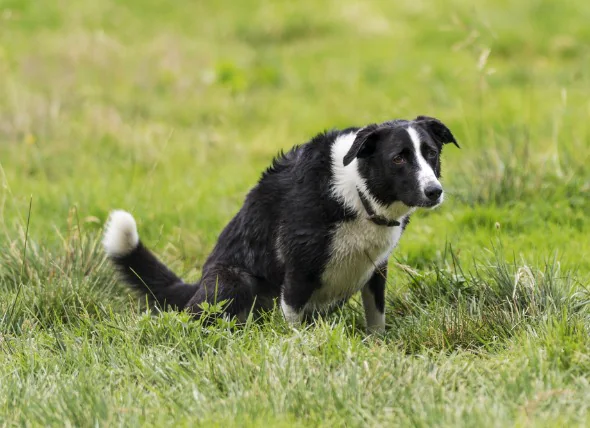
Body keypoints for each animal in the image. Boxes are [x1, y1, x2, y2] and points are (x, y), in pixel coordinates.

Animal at [104, 116, 460, 332]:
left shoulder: (376, 269)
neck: (358, 193)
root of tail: (198, 283)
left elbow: (376, 319)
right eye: (398, 158)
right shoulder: (298, 270)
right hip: (234, 282)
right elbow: (293, 325)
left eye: (431, 153)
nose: (434, 192)